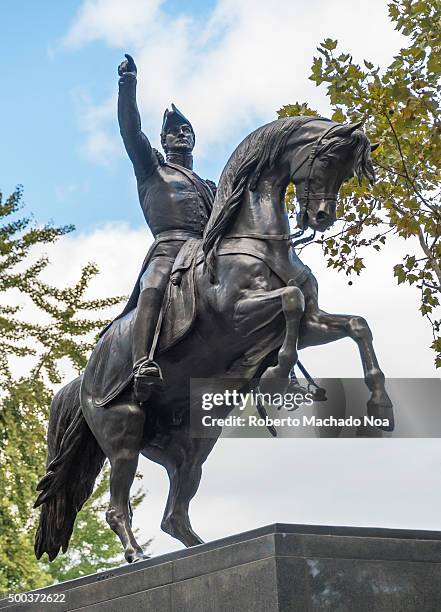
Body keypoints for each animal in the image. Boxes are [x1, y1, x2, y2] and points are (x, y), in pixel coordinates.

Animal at [34, 115, 392, 564]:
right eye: (327, 159)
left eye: (348, 170)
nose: (322, 216)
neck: (253, 241)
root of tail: (85, 380)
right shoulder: (239, 312)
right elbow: (289, 301)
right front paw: (278, 377)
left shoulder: (313, 323)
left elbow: (356, 325)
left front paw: (380, 404)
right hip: (124, 428)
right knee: (118, 508)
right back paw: (136, 553)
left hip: (196, 442)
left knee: (174, 516)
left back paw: (204, 548)